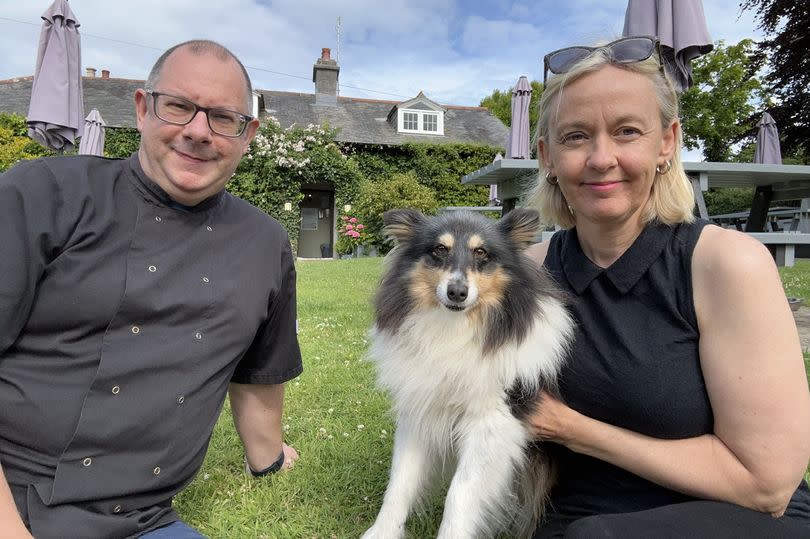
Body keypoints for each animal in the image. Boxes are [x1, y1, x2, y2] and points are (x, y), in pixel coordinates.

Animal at [360, 210, 576, 539]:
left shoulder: (493, 423)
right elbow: (399, 483)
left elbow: (459, 493)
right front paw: (382, 532)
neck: (454, 329)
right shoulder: (419, 411)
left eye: (482, 252)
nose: (457, 292)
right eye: (439, 249)